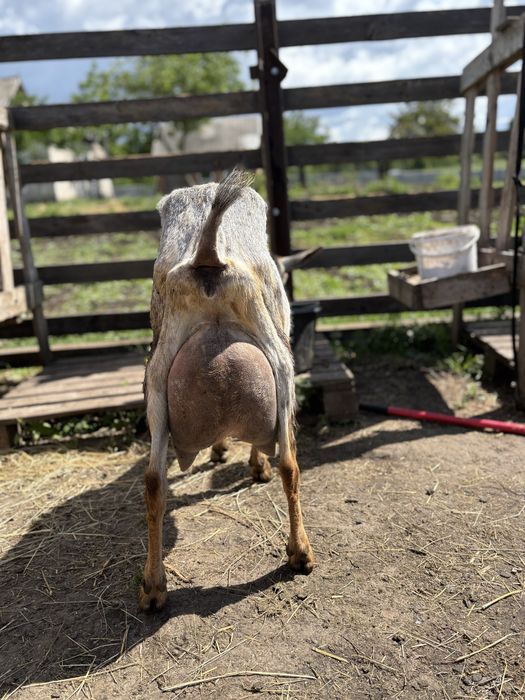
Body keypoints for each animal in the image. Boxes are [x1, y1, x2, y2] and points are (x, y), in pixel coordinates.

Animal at [140, 169, 314, 612]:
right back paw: (300, 553)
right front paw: (251, 463)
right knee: (290, 464)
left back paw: (153, 587)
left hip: (157, 380)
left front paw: (220, 450)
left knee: (153, 481)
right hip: (281, 364)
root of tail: (208, 256)